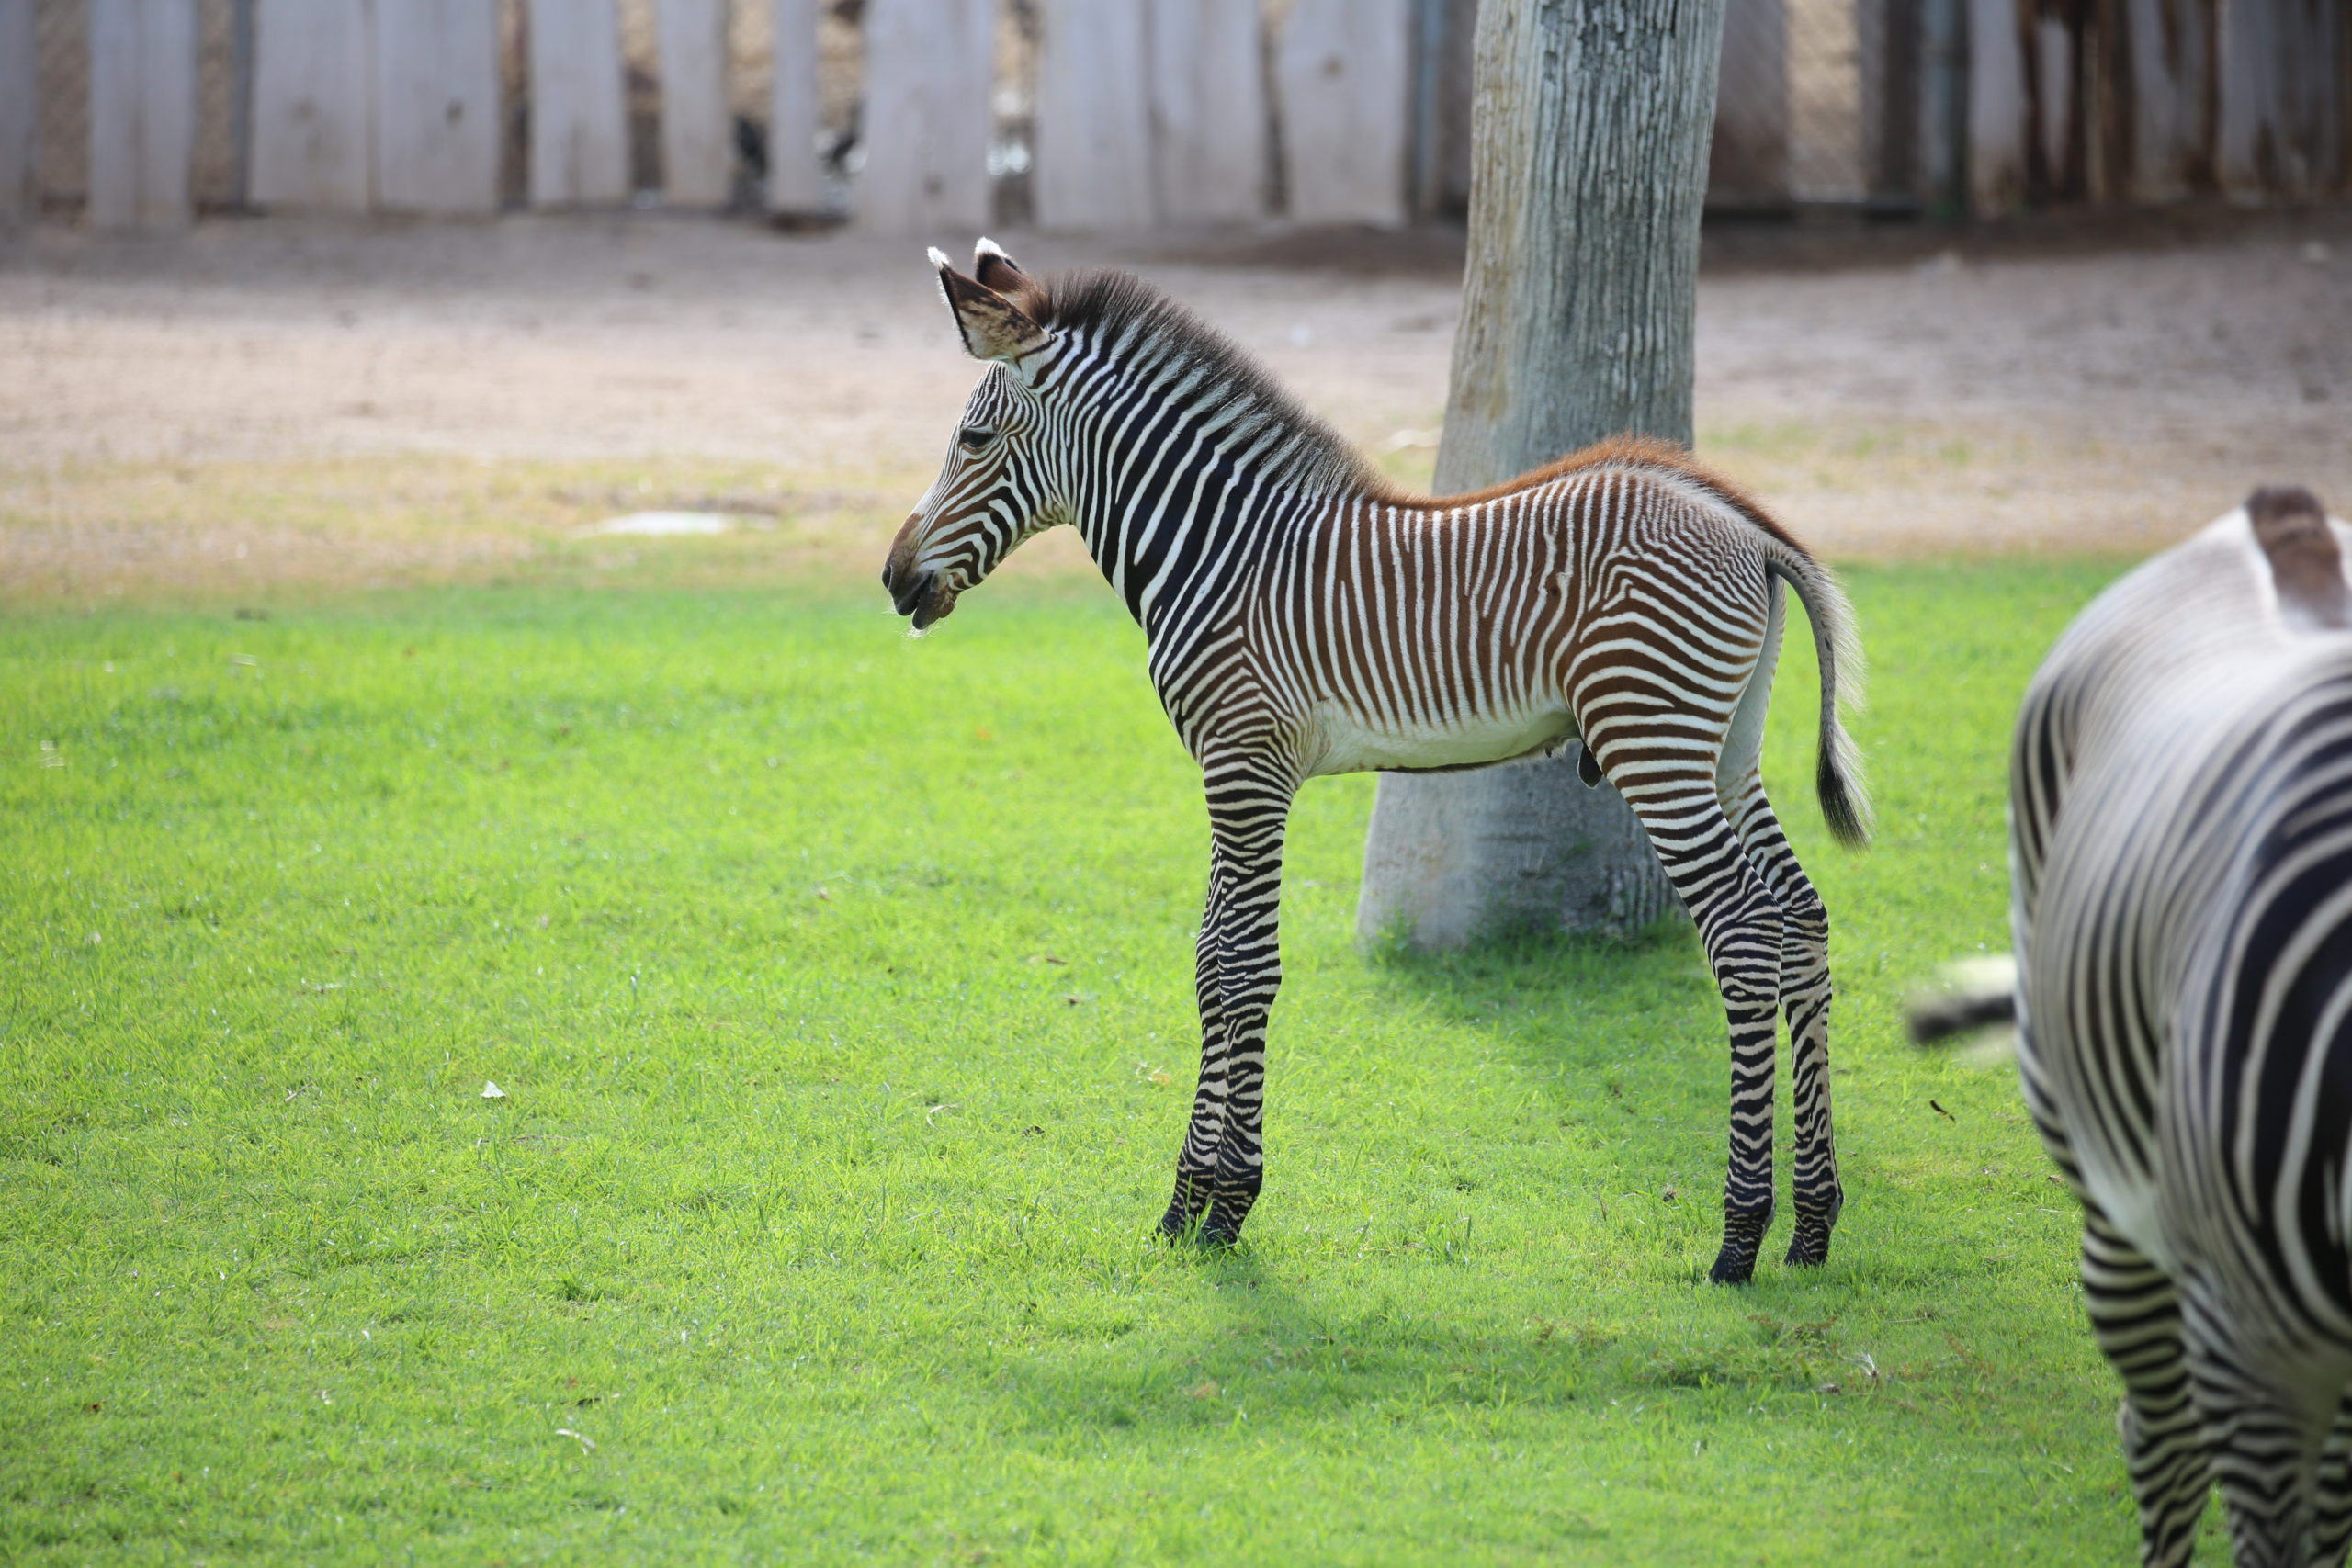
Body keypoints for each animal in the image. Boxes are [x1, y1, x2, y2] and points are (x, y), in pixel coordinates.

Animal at [884, 241, 1870, 1284]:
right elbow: (1212, 959)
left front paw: (1219, 1206)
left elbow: (1240, 965)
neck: (1222, 552)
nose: (893, 578)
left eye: (972, 439)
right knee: (1801, 921)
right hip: (1725, 749)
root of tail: (1745, 526)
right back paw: (1812, 1225)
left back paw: (1737, 1236)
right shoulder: (1237, 768)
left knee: (1745, 934)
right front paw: (1190, 1204)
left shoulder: (1245, 765)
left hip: (1656, 744)